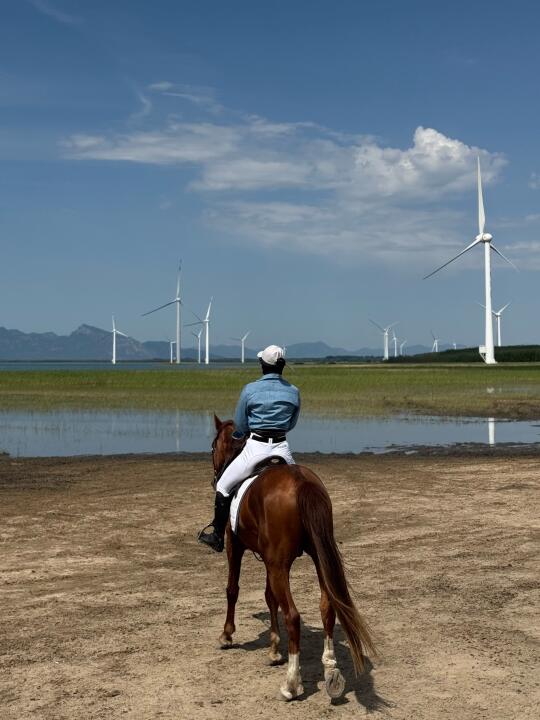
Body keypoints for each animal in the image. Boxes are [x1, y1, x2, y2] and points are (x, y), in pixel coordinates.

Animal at [210, 415, 376, 701]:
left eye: (212, 447)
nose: (214, 477)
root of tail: (301, 482)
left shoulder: (236, 546)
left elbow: (233, 589)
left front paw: (227, 635)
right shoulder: (268, 559)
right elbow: (269, 597)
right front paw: (274, 650)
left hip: (279, 565)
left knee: (293, 616)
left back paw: (291, 684)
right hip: (316, 559)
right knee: (327, 608)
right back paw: (331, 672)